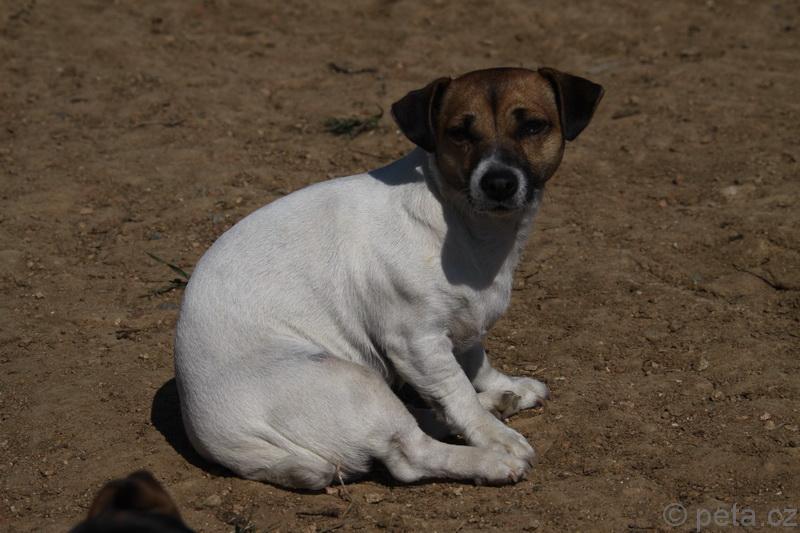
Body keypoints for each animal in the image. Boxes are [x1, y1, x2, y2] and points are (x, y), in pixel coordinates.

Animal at [174, 67, 603, 489]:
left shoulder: (465, 325)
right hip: (352, 383)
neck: (462, 222)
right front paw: (495, 437)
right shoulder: (416, 343)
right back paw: (490, 460)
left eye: (533, 126)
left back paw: (496, 404)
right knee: (412, 454)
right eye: (459, 133)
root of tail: (225, 442)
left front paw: (503, 387)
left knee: (424, 418)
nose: (498, 182)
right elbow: (458, 393)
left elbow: (476, 365)